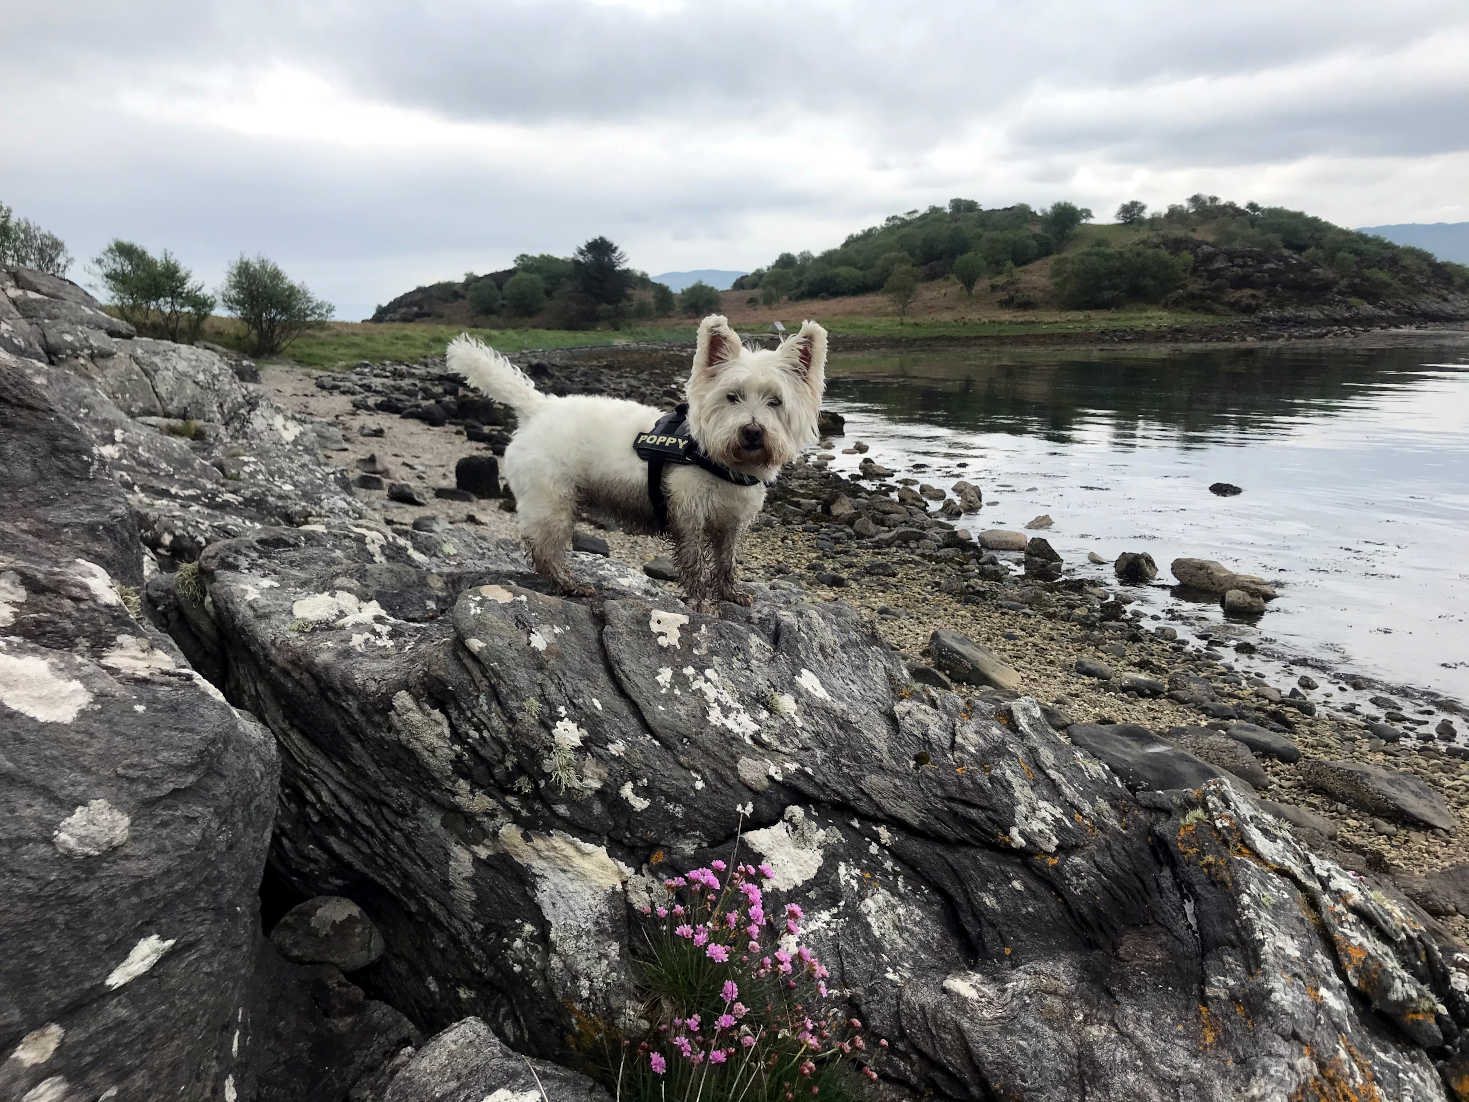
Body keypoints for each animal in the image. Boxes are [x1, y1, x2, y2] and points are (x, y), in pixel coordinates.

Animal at [446, 314, 828, 608]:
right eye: (732, 397)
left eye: (775, 401)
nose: (752, 432)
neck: (720, 461)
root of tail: (539, 407)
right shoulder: (689, 515)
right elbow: (694, 560)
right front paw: (701, 601)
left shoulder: (731, 523)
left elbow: (726, 560)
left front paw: (731, 593)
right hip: (552, 502)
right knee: (546, 551)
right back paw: (571, 585)